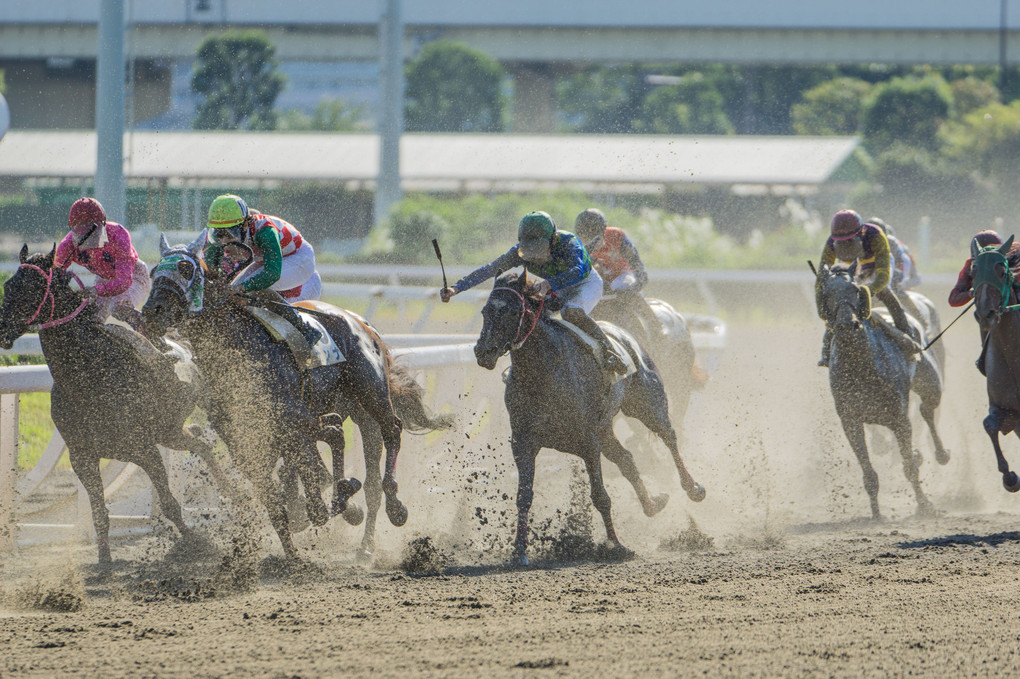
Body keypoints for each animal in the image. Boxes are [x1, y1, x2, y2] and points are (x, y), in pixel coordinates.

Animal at [473, 271, 705, 566]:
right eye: (485, 311)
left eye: (513, 311)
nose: (483, 352)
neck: (545, 369)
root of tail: (624, 333)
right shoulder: (523, 442)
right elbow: (524, 496)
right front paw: (519, 552)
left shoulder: (588, 442)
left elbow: (600, 496)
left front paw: (616, 545)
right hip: (606, 428)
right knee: (627, 459)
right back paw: (652, 503)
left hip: (648, 404)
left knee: (670, 436)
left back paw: (693, 487)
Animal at [811, 260, 946, 515]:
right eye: (827, 292)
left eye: (855, 290)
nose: (847, 325)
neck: (862, 368)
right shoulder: (851, 421)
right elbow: (869, 473)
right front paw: (875, 513)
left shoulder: (900, 419)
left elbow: (909, 466)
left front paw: (924, 504)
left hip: (931, 381)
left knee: (927, 409)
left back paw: (941, 453)